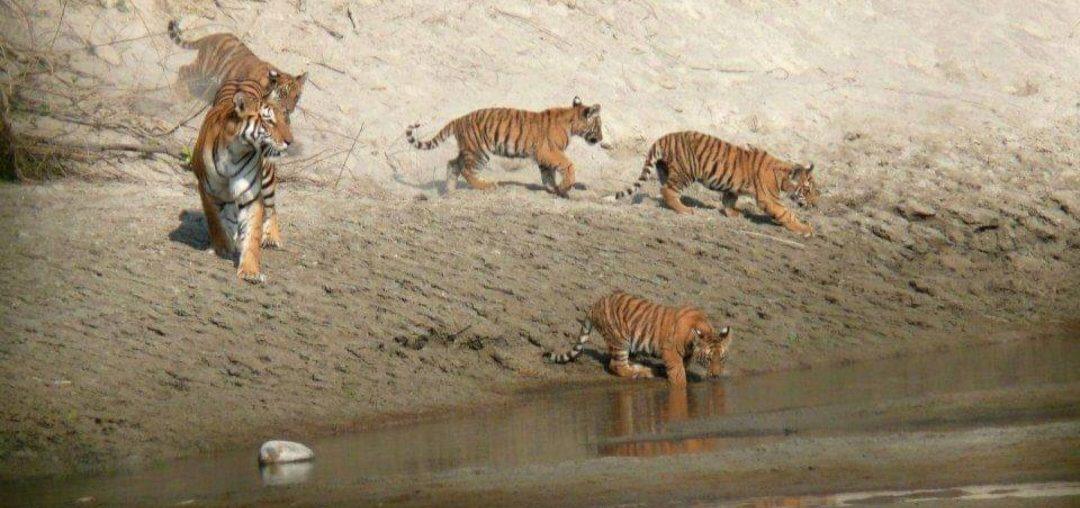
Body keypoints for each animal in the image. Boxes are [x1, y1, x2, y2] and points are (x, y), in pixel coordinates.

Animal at [168, 20, 307, 119]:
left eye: (296, 97)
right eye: (283, 94)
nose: (289, 110)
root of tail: (212, 36)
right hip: (203, 68)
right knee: (183, 70)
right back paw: (180, 95)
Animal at [190, 78, 292, 283]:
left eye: (284, 119)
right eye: (269, 120)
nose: (290, 141)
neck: (236, 151)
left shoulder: (251, 196)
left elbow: (252, 233)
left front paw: (250, 271)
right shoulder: (206, 190)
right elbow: (215, 220)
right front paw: (222, 247)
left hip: (267, 177)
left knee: (272, 208)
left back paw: (272, 238)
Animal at [405, 96, 603, 197]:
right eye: (599, 125)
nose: (601, 138)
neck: (572, 123)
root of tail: (459, 119)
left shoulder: (544, 155)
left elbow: (548, 175)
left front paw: (555, 189)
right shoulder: (550, 151)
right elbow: (568, 166)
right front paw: (564, 187)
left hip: (468, 149)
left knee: (453, 164)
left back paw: (450, 190)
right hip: (479, 152)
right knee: (467, 171)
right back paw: (487, 186)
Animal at [547, 291, 733, 387]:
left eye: (722, 358)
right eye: (708, 359)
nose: (716, 375)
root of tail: (595, 304)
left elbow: (683, 367)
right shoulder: (670, 352)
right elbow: (678, 374)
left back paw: (645, 369)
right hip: (620, 340)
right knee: (616, 365)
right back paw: (642, 373)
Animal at [610, 131, 820, 237]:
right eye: (807, 190)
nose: (815, 204)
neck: (782, 175)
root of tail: (663, 138)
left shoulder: (732, 187)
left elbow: (729, 199)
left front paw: (733, 213)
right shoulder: (769, 199)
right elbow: (787, 213)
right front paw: (805, 229)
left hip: (666, 169)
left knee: (664, 190)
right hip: (686, 171)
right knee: (667, 190)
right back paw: (685, 210)